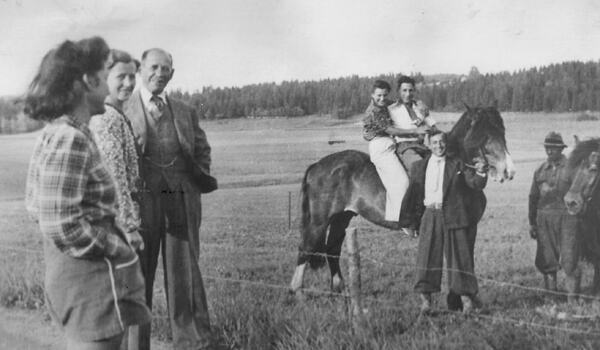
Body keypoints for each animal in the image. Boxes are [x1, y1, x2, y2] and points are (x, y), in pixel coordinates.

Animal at [290, 105, 516, 294]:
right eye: (486, 134)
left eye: (503, 131)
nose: (508, 170)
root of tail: (317, 165)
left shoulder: (469, 228)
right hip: (319, 221)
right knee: (305, 248)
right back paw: (297, 291)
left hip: (341, 217)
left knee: (333, 250)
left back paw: (340, 290)